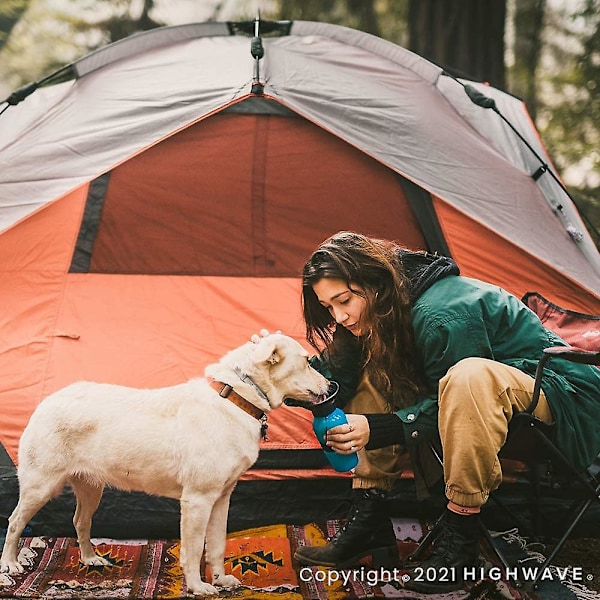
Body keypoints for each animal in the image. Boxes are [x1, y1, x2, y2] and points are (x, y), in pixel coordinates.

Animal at [0, 332, 330, 596]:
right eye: (307, 361)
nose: (331, 384)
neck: (236, 398)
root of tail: (47, 401)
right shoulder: (197, 500)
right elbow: (193, 550)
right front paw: (198, 587)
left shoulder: (222, 497)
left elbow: (217, 545)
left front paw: (221, 580)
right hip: (40, 486)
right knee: (15, 522)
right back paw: (11, 565)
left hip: (91, 488)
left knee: (80, 521)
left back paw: (90, 559)